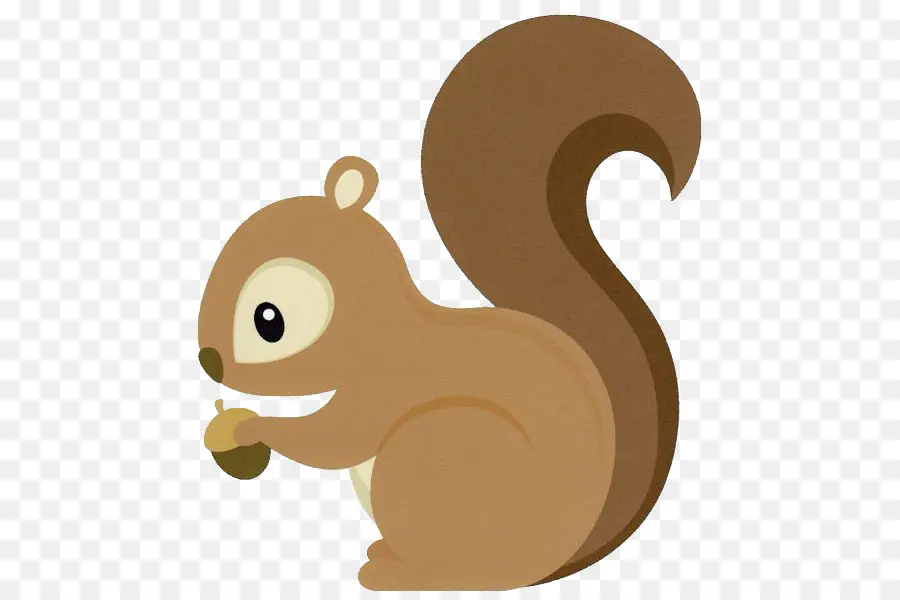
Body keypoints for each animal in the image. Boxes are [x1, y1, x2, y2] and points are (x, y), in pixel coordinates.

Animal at [197, 15, 700, 591]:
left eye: (269, 320)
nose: (208, 361)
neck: (381, 323)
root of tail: (548, 561)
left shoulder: (385, 385)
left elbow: (331, 440)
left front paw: (249, 426)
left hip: (426, 460)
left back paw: (394, 572)